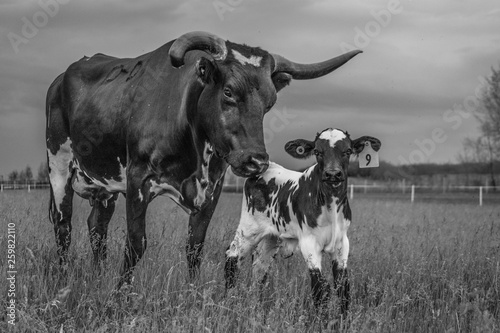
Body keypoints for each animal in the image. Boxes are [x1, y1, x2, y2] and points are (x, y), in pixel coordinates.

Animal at [45, 30, 362, 286]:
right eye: (228, 91)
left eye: (270, 103)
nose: (256, 162)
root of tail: (61, 78)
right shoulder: (138, 180)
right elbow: (136, 243)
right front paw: (121, 293)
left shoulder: (212, 188)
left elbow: (195, 246)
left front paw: (193, 292)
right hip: (58, 165)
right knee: (63, 225)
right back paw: (62, 278)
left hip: (105, 185)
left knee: (97, 227)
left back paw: (97, 276)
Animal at [225, 127, 380, 312]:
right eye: (317, 152)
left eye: (348, 151)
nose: (333, 174)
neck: (331, 206)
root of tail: (267, 167)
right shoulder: (309, 242)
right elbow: (320, 289)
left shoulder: (342, 242)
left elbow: (343, 288)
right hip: (248, 230)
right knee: (232, 258)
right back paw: (227, 302)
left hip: (272, 237)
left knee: (259, 269)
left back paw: (254, 306)